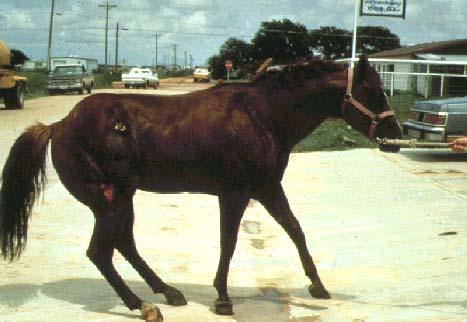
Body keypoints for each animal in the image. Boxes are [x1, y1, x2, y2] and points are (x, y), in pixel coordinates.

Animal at [0, 56, 402, 322]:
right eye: (374, 91)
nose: (395, 135)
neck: (261, 115)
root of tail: (59, 126)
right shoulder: (235, 194)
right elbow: (229, 242)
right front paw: (223, 298)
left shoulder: (268, 189)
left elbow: (295, 231)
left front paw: (317, 286)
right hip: (110, 199)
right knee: (101, 252)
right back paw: (144, 306)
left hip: (121, 199)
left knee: (123, 245)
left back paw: (169, 293)